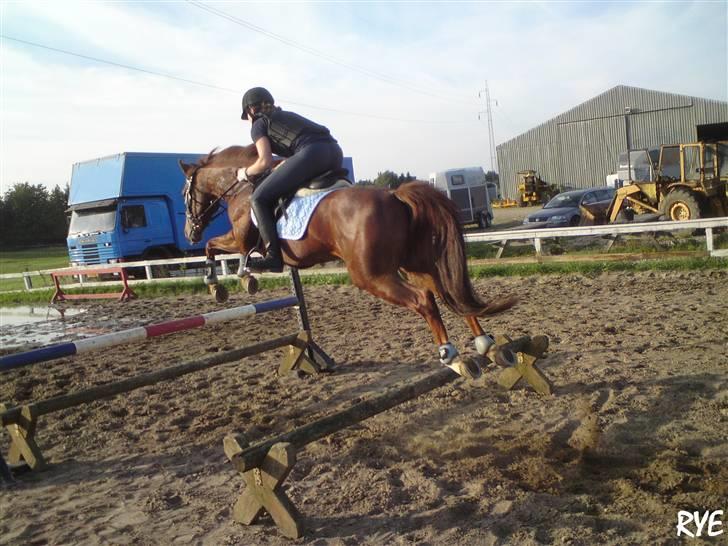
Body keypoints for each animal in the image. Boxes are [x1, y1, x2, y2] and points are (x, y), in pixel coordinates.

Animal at [178, 144, 516, 376]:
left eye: (185, 194)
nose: (188, 232)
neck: (241, 186)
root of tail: (394, 195)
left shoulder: (240, 239)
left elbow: (213, 247)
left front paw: (223, 282)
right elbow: (217, 249)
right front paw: (240, 276)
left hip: (370, 275)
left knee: (424, 300)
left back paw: (452, 355)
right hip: (416, 265)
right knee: (449, 295)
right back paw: (486, 345)